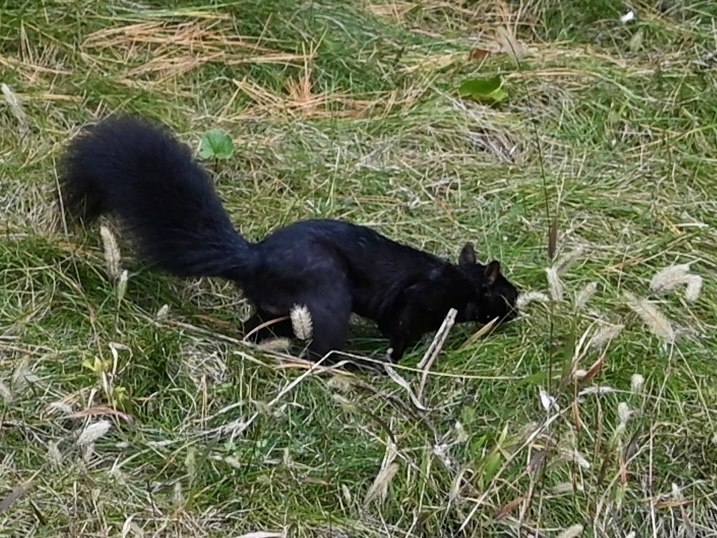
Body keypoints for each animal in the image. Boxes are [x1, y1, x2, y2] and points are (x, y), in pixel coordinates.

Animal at [58, 115, 516, 362]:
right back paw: (349, 363)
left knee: (255, 325)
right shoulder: (418, 300)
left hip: (276, 308)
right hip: (326, 293)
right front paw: (396, 360)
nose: (516, 313)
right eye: (508, 293)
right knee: (322, 349)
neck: (460, 281)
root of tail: (255, 259)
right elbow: (399, 331)